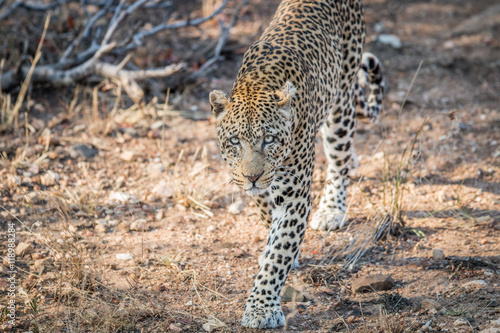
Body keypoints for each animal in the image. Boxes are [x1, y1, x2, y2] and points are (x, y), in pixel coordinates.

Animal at [207, 0, 382, 326]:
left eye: (270, 139)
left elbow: (279, 253)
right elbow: (271, 225)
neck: (257, 84)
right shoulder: (262, 191)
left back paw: (332, 209)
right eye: (235, 141)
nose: (252, 177)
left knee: (339, 159)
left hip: (340, 103)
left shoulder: (295, 196)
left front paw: (262, 308)